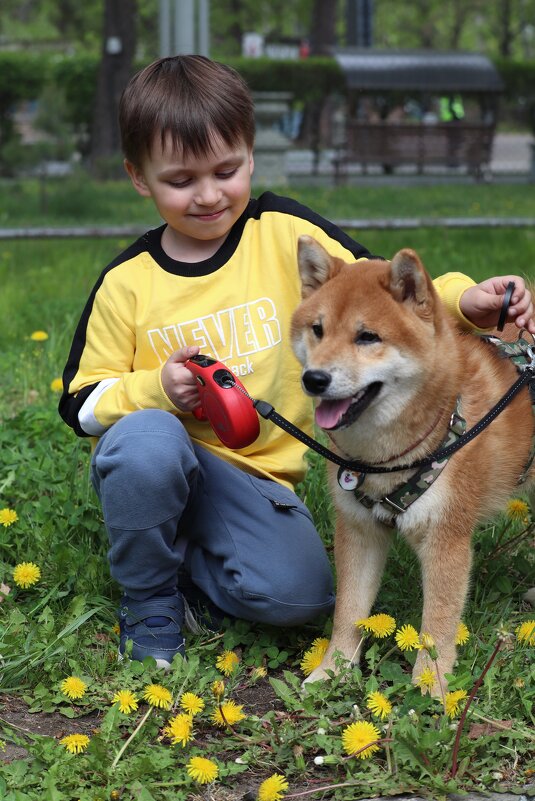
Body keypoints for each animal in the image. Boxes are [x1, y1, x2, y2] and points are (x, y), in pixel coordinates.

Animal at [294, 234, 535, 692]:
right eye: (317, 330)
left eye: (367, 337)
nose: (313, 380)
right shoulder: (358, 529)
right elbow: (348, 612)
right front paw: (331, 671)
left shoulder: (446, 538)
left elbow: (437, 628)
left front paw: (433, 691)